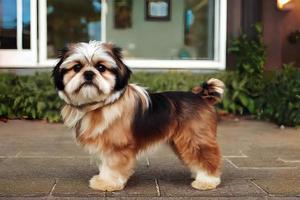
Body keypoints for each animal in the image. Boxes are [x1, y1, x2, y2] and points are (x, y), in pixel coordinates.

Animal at [52, 41, 224, 192]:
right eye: (77, 67)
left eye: (101, 67)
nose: (88, 73)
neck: (101, 104)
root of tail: (201, 96)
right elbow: (104, 164)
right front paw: (102, 179)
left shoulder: (117, 146)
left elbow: (112, 166)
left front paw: (108, 183)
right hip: (181, 140)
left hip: (195, 138)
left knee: (207, 157)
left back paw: (207, 181)